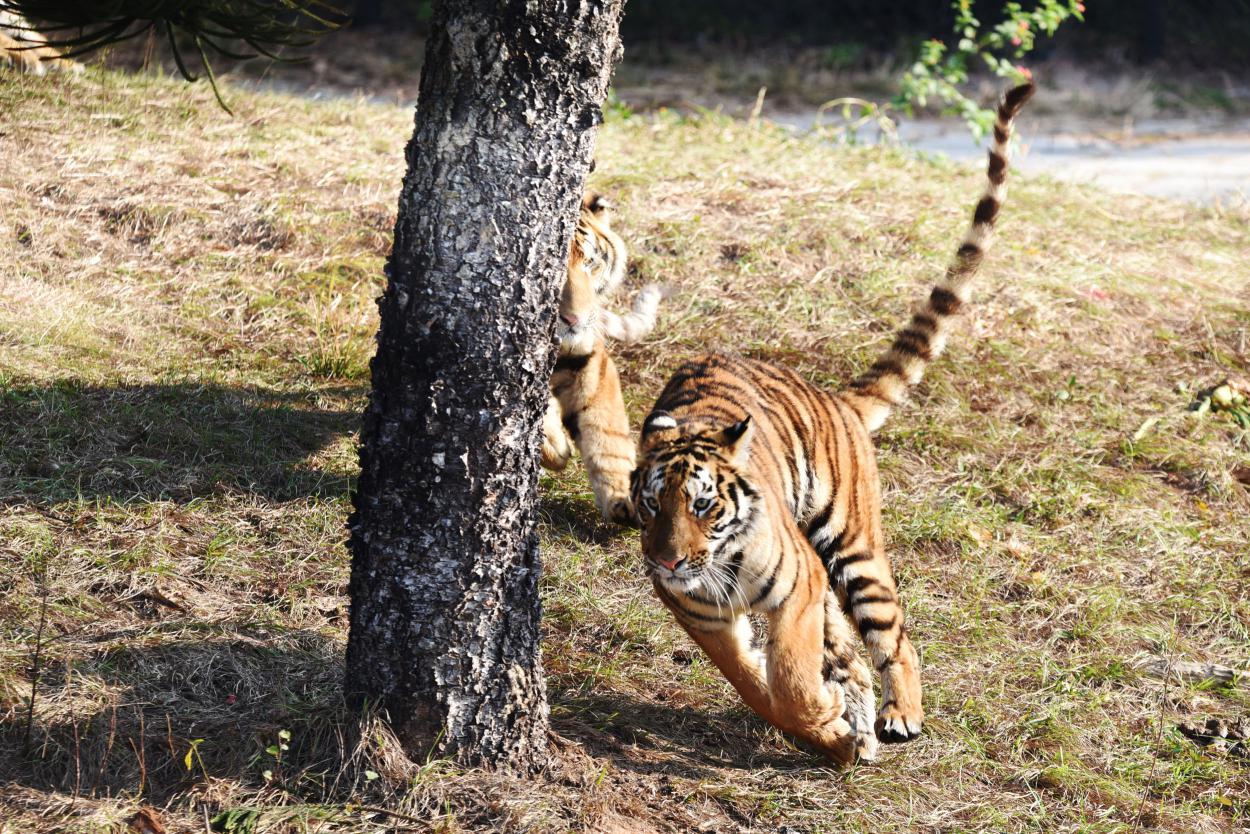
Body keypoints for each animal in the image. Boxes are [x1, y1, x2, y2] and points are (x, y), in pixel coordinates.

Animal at [542, 193, 663, 526]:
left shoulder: (591, 361)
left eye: (590, 263)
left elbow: (607, 432)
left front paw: (623, 496)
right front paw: (555, 447)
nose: (573, 320)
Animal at [630, 83, 1035, 764]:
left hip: (851, 545)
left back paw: (900, 713)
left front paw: (823, 715)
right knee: (849, 642)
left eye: (704, 505)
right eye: (653, 504)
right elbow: (752, 679)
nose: (666, 562)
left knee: (893, 634)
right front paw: (828, 728)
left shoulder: (797, 587)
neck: (716, 564)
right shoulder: (700, 613)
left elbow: (791, 670)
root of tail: (835, 398)